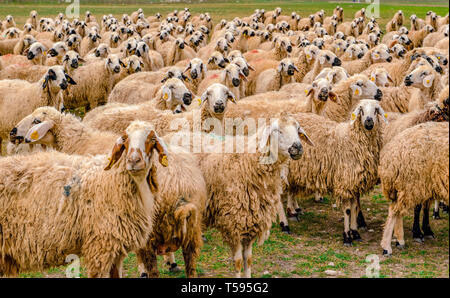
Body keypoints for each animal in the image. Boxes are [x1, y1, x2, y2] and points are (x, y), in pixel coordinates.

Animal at [0, 119, 168, 278]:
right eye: (125, 138)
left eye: (152, 139)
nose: (133, 161)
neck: (111, 179)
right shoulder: (100, 245)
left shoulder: (116, 248)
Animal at [286, 99, 384, 244]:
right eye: (361, 110)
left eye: (376, 109)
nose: (368, 121)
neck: (352, 138)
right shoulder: (345, 182)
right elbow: (348, 210)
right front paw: (347, 236)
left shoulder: (354, 183)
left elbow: (355, 208)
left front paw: (355, 232)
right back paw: (288, 218)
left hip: (296, 170)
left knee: (291, 190)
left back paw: (294, 210)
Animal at [380, 122, 450, 255]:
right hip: (412, 182)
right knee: (394, 210)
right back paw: (387, 247)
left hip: (411, 185)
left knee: (398, 210)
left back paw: (400, 241)